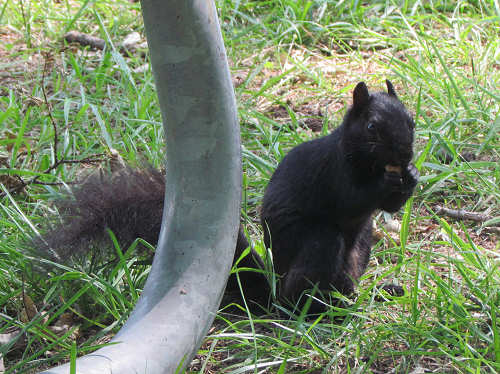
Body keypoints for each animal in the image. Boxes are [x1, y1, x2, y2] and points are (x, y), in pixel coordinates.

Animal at [36, 81, 418, 312]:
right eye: (372, 127)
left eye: (411, 120)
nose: (405, 154)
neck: (369, 163)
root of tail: (275, 293)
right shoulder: (334, 172)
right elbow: (351, 199)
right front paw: (390, 183)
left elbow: (386, 206)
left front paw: (412, 178)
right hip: (319, 242)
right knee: (304, 288)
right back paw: (321, 308)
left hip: (361, 246)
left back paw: (365, 295)